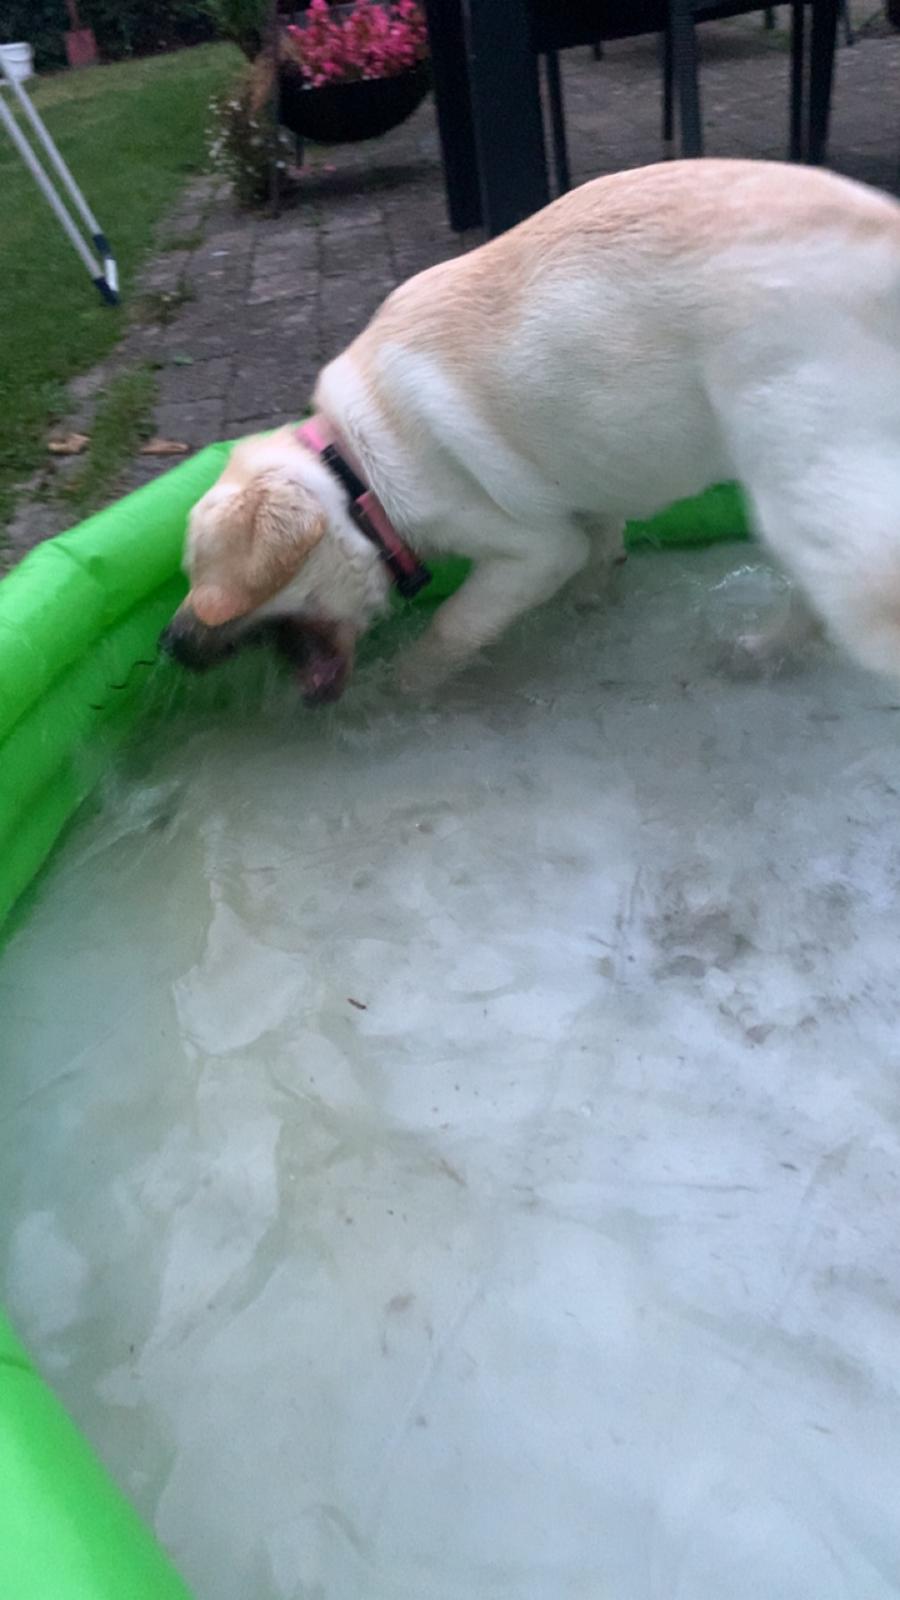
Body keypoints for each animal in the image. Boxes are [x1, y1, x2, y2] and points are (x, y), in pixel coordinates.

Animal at [160, 159, 896, 704]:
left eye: (201, 578)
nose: (167, 643)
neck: (352, 477)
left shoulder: (531, 550)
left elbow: (455, 625)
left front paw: (406, 688)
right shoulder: (582, 492)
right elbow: (601, 544)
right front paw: (593, 600)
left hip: (808, 487)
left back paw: (764, 649)